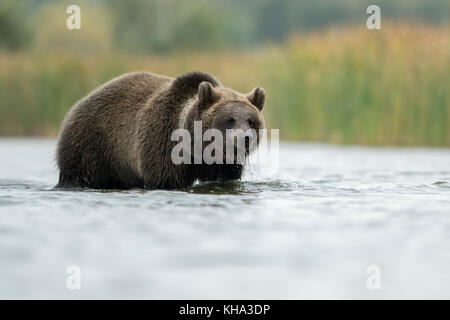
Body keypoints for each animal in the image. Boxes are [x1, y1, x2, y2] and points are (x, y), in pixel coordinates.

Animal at [57, 71, 266, 189]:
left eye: (251, 121)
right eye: (230, 120)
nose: (245, 138)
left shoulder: (224, 166)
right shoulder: (163, 143)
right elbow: (165, 178)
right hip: (93, 147)